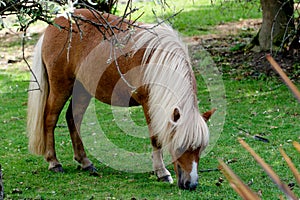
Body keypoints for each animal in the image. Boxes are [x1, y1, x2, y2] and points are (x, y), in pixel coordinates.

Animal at [25, 9, 213, 190]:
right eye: (180, 146)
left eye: (200, 148)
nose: (191, 184)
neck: (160, 62)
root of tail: (55, 24)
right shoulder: (148, 104)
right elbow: (155, 138)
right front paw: (162, 172)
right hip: (61, 87)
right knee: (49, 120)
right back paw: (54, 162)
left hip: (83, 90)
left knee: (72, 118)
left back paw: (85, 162)